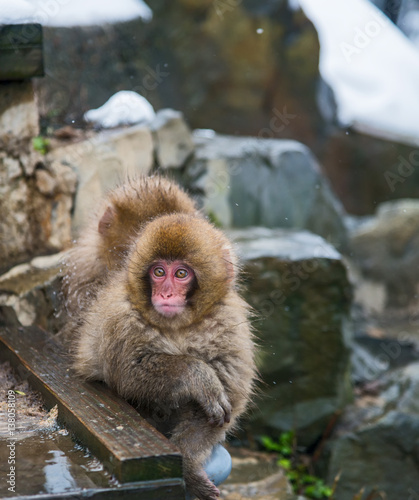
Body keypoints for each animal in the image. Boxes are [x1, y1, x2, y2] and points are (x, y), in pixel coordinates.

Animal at [64, 177, 258, 500]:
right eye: (158, 271)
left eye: (180, 274)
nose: (165, 294)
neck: (177, 327)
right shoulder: (118, 317)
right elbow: (128, 373)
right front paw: (197, 376)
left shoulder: (229, 324)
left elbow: (226, 399)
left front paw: (187, 464)